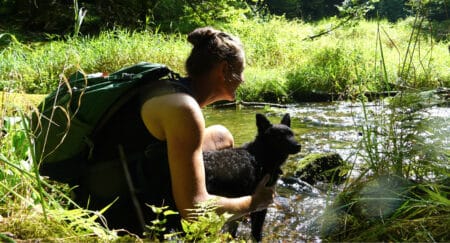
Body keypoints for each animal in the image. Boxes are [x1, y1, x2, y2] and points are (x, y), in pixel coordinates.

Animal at [203, 112, 300, 241]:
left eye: (292, 134)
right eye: (279, 137)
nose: (298, 146)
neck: (259, 156)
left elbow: (233, 229)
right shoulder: (260, 205)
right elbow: (256, 232)